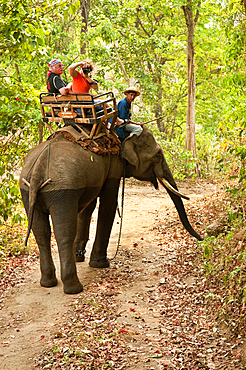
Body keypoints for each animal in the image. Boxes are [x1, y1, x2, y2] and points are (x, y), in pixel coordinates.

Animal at [19, 127, 203, 294]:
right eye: (158, 155)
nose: (202, 238)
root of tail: (37, 171)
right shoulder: (114, 164)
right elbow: (108, 203)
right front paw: (100, 263)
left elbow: (89, 206)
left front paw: (79, 256)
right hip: (62, 192)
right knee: (63, 233)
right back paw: (74, 288)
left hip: (27, 191)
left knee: (41, 233)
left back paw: (48, 283)